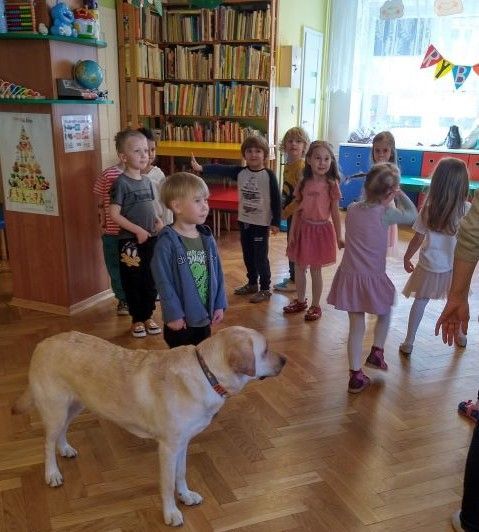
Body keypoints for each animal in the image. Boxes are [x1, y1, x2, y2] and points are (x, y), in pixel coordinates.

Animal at [12, 326, 286, 526]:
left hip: (76, 404)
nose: (285, 360)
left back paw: (65, 449)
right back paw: (52, 473)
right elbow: (167, 483)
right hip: (56, 408)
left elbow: (181, 474)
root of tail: (43, 343)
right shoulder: (167, 448)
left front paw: (185, 496)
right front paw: (171, 513)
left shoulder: (182, 444)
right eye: (265, 350)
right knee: (47, 442)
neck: (207, 374)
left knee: (61, 432)